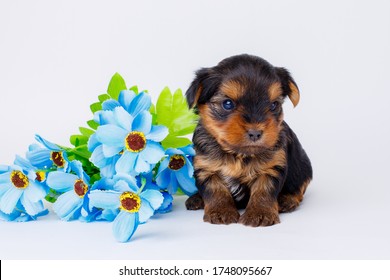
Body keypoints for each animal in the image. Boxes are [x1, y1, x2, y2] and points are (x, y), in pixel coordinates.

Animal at [184, 53, 312, 226]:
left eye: (273, 105)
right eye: (227, 104)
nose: (255, 133)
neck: (238, 154)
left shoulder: (273, 166)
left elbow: (263, 190)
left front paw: (260, 213)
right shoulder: (205, 166)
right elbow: (215, 189)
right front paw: (221, 210)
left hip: (303, 168)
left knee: (299, 186)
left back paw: (286, 200)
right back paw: (196, 199)